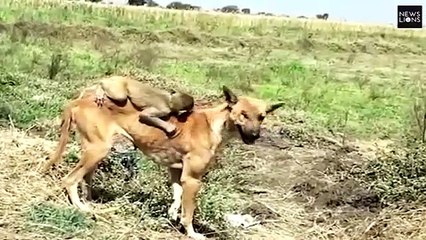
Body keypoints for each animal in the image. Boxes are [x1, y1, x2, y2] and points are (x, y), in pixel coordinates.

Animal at [42, 83, 282, 239]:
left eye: (261, 116)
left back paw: (90, 202)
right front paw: (192, 233)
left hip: (93, 151)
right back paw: (81, 208)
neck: (216, 125)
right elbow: (189, 213)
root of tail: (79, 99)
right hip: (97, 150)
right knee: (70, 179)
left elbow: (176, 197)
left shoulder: (176, 172)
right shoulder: (192, 179)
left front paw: (172, 213)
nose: (255, 136)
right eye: (243, 114)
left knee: (84, 179)